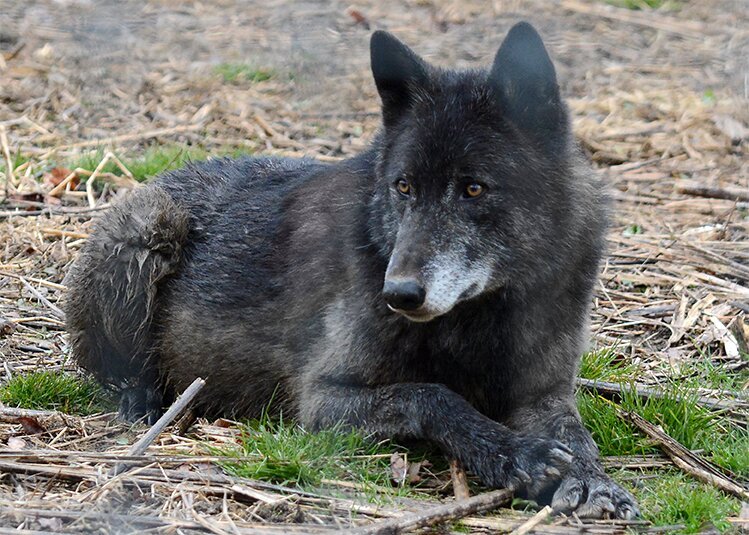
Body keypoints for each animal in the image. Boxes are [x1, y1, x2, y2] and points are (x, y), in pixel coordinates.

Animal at [65, 22, 636, 520]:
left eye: (474, 188)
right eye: (403, 187)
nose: (398, 293)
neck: (479, 318)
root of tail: (172, 170)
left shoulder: (545, 394)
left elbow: (577, 435)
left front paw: (595, 482)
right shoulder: (321, 400)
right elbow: (433, 396)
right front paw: (518, 455)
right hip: (145, 226)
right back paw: (145, 407)